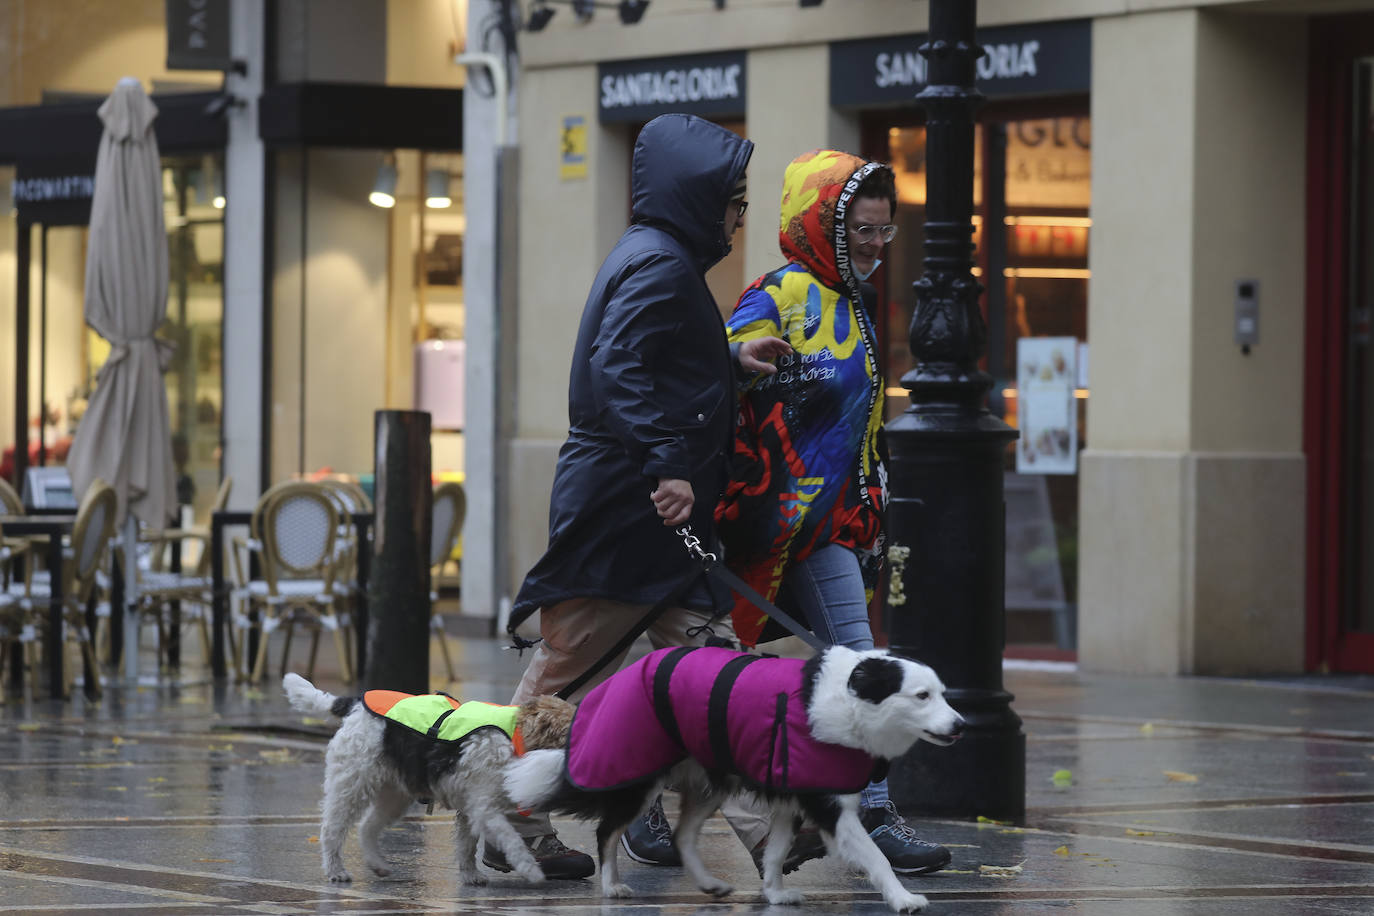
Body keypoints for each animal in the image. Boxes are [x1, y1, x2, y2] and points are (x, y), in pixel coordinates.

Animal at [505, 648, 967, 911]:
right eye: (921, 696)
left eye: (943, 694)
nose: (961, 725)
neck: (850, 698)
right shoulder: (827, 805)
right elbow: (875, 856)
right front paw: (903, 899)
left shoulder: (790, 796)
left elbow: (776, 852)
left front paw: (774, 894)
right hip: (639, 775)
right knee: (606, 832)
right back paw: (611, 886)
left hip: (713, 781)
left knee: (683, 836)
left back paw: (708, 883)